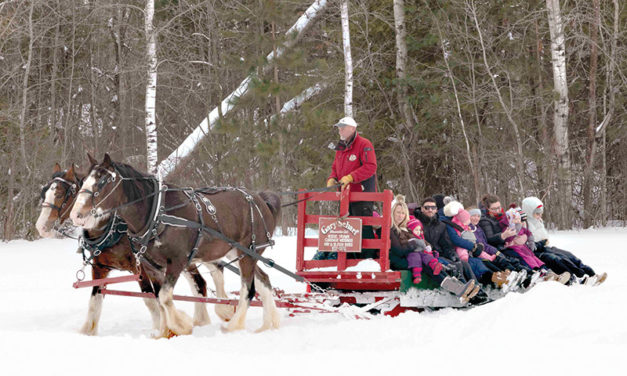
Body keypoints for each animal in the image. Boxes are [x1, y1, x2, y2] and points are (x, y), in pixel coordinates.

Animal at [36, 161, 234, 334]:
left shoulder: (141, 268)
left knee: (204, 278)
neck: (113, 228)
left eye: (60, 194)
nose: (41, 227)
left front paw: (162, 328)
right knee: (208, 275)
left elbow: (151, 300)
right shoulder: (100, 268)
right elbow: (94, 302)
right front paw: (87, 332)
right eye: (43, 193)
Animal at [70, 154, 282, 336]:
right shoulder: (151, 267)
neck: (156, 214)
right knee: (263, 281)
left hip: (248, 253)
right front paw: (164, 332)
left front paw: (181, 325)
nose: (76, 215)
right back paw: (268, 325)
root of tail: (261, 200)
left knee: (248, 289)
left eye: (103, 181)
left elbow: (164, 297)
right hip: (237, 253)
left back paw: (233, 325)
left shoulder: (176, 262)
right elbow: (157, 298)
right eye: (83, 181)